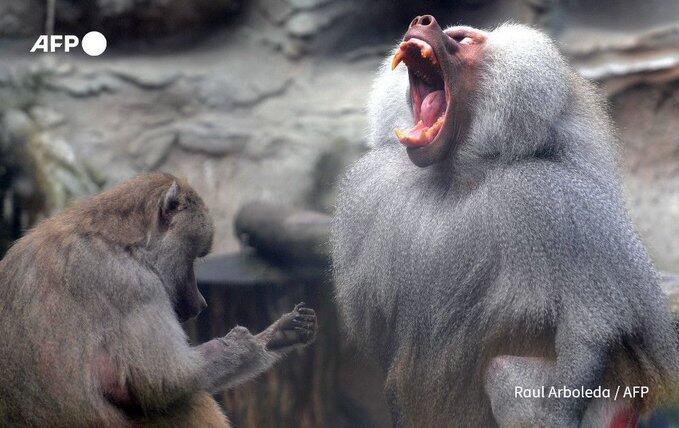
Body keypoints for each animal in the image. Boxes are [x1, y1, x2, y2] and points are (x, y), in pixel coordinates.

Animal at [0, 172, 317, 427]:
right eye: (195, 257)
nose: (201, 303)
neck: (119, 239)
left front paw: (280, 335)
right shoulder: (134, 284)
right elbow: (164, 381)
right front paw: (244, 346)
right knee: (187, 399)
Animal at [331, 15, 678, 427]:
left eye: (462, 40)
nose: (422, 20)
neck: (456, 175)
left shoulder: (556, 198)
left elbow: (593, 329)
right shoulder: (369, 197)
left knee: (506, 372)